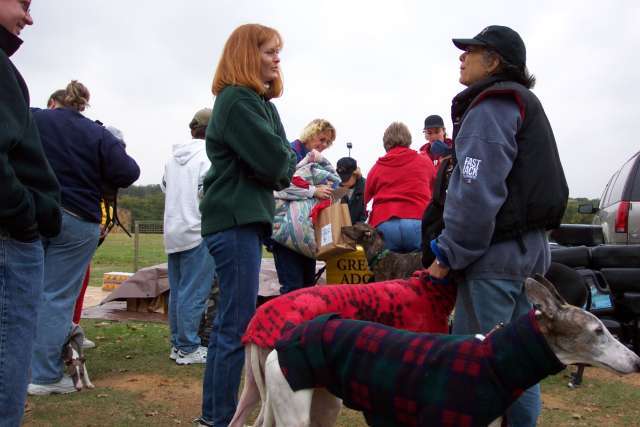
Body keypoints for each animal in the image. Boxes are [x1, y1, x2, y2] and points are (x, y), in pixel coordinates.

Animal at [264, 276, 640, 426]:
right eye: (598, 331)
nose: (637, 361)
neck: (494, 359)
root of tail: (280, 344)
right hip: (294, 412)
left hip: (324, 406)